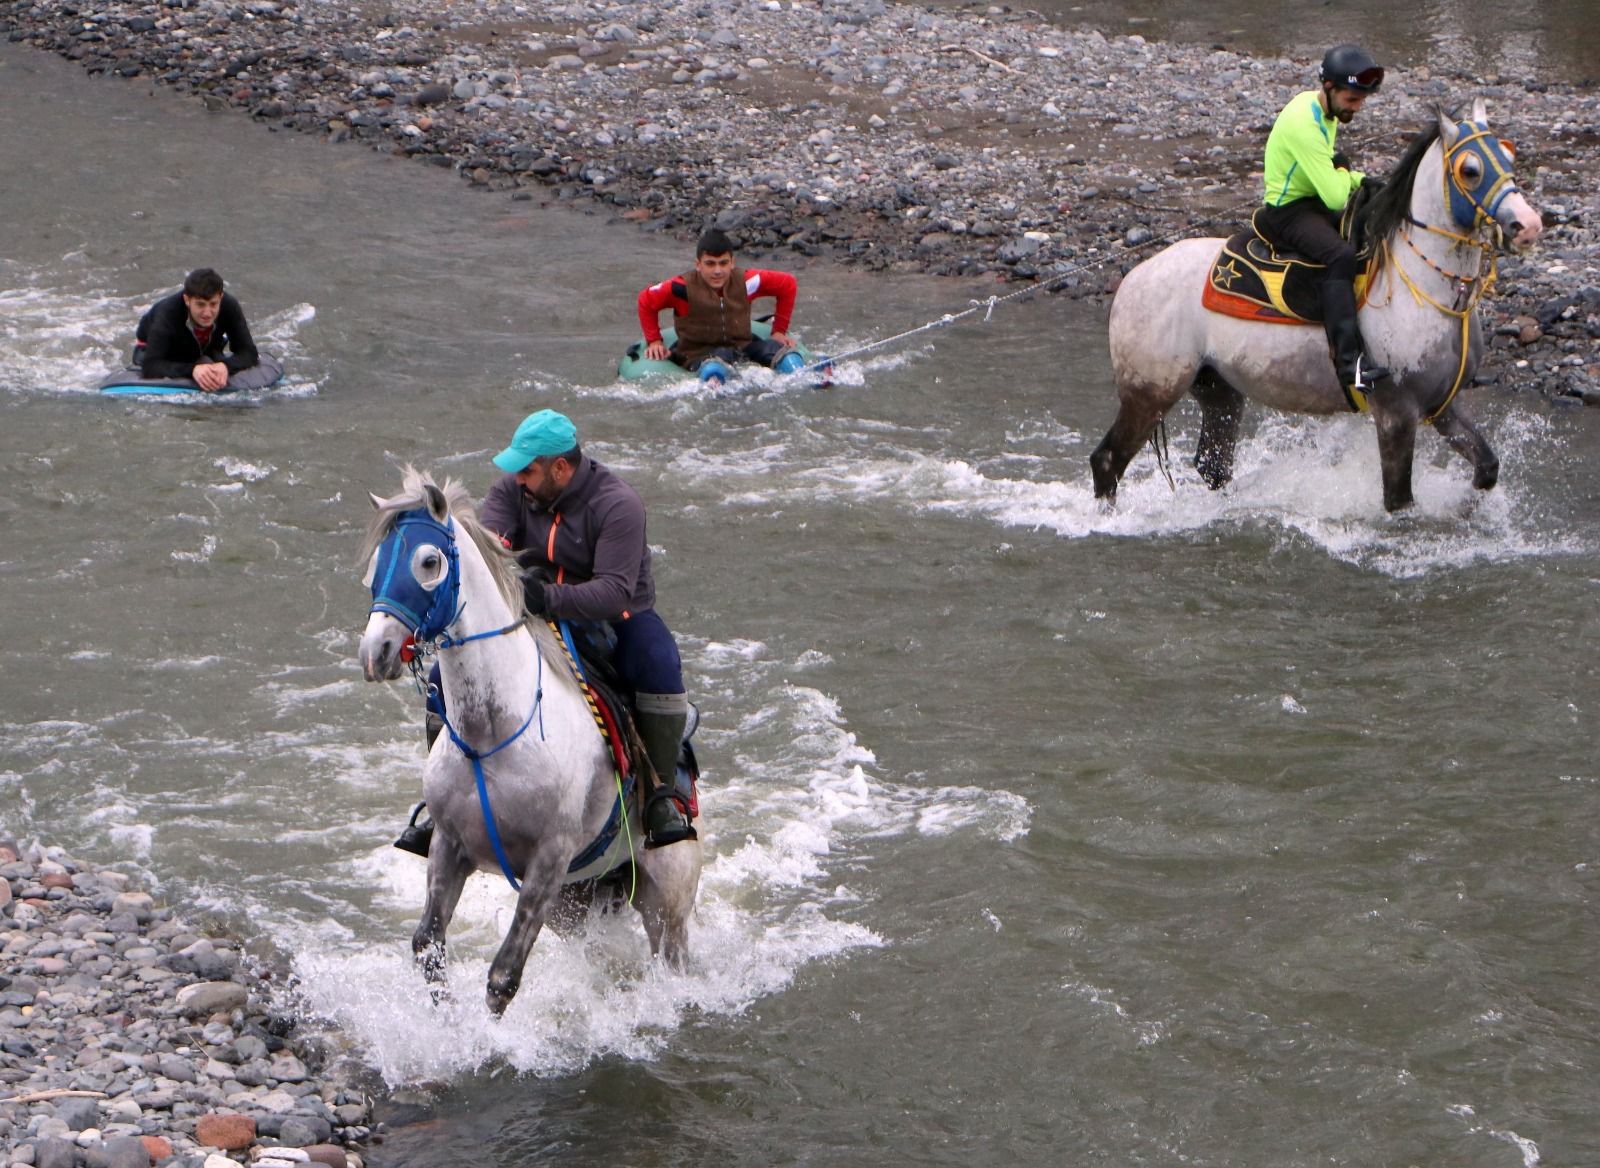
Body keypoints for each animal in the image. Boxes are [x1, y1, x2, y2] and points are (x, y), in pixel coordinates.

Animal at [360, 467, 704, 1017]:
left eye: (429, 561)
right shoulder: (449, 845)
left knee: (671, 955)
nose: (377, 651)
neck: (495, 736)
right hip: (577, 900)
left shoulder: (549, 860)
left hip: (665, 900)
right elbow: (428, 946)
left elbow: (503, 977)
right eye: (376, 564)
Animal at [1094, 102, 1542, 512]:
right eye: (1470, 170)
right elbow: (1399, 502)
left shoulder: (1441, 405)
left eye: (1508, 155)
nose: (1529, 225)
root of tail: (1133, 280)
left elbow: (1487, 467)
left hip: (1219, 391)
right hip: (1150, 392)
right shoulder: (1396, 413)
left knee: (1212, 465)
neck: (1422, 290)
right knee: (1108, 460)